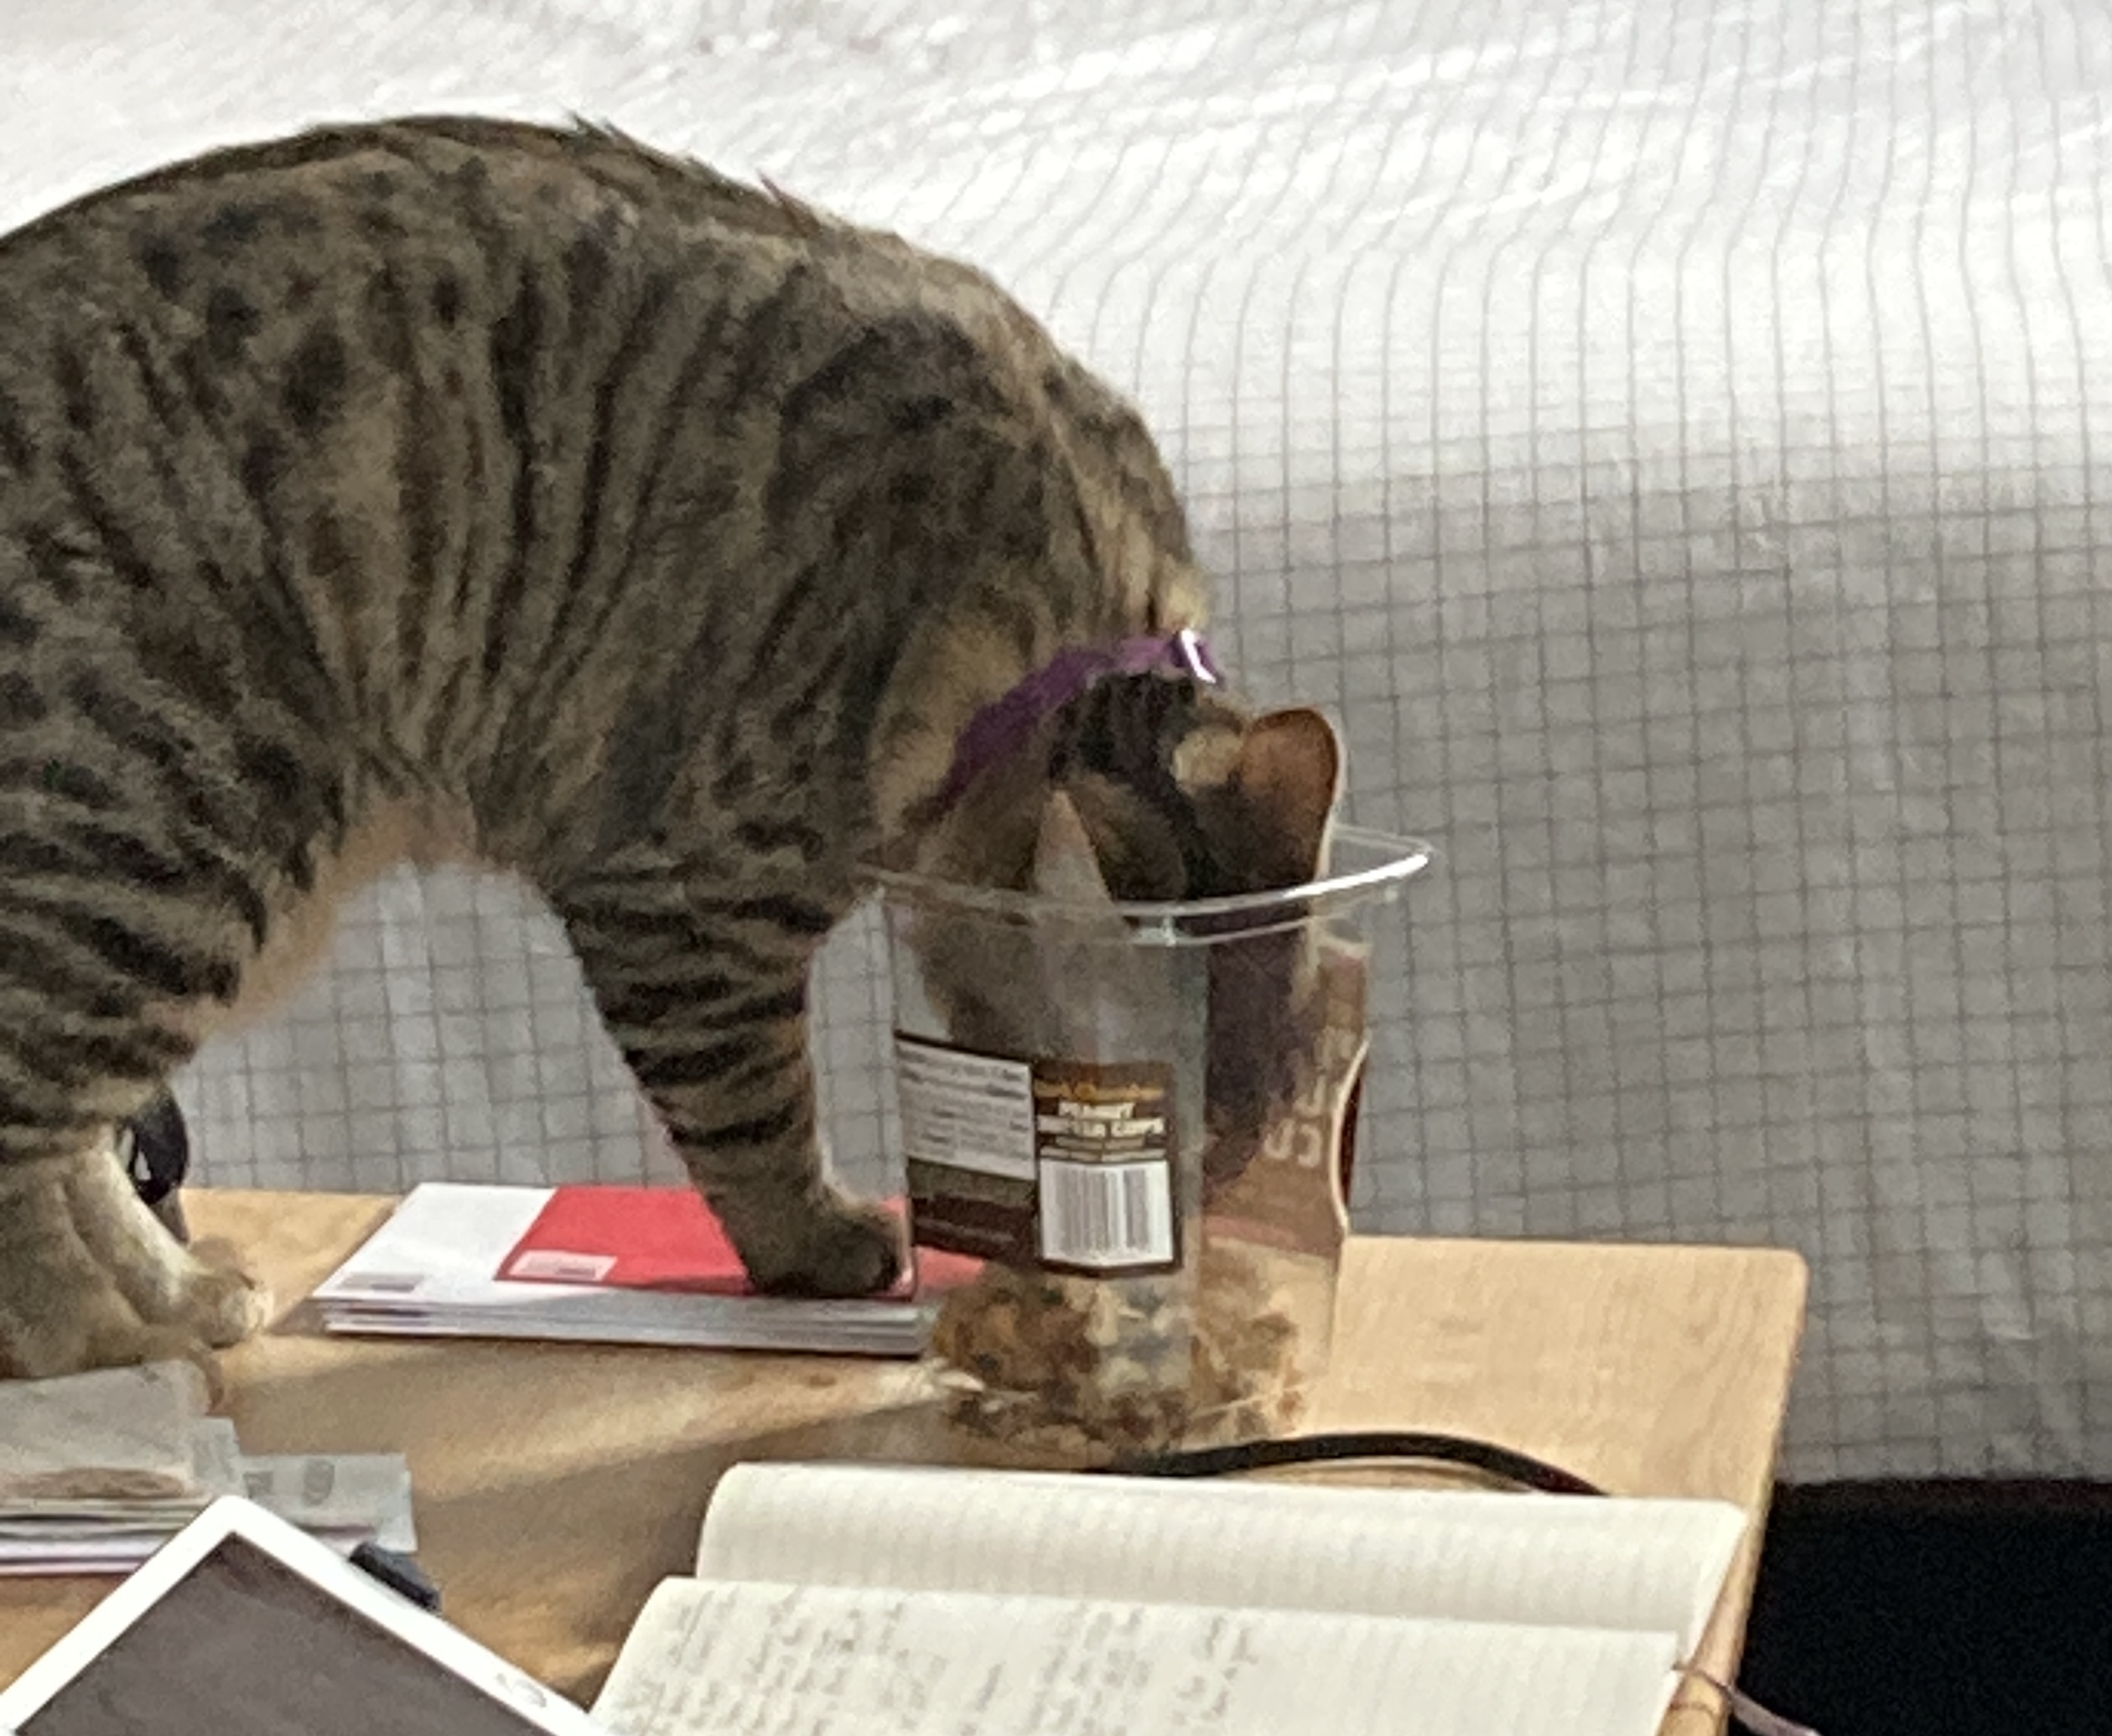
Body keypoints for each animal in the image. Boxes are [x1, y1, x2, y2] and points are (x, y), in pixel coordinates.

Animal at [0, 114, 1340, 1384]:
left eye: (1246, 1136)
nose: (1183, 1239)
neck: (1054, 634)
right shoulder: (683, 906)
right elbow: (754, 1112)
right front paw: (819, 1243)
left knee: (74, 1134)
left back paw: (177, 1291)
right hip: (167, 835)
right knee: (24, 1123)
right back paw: (97, 1336)